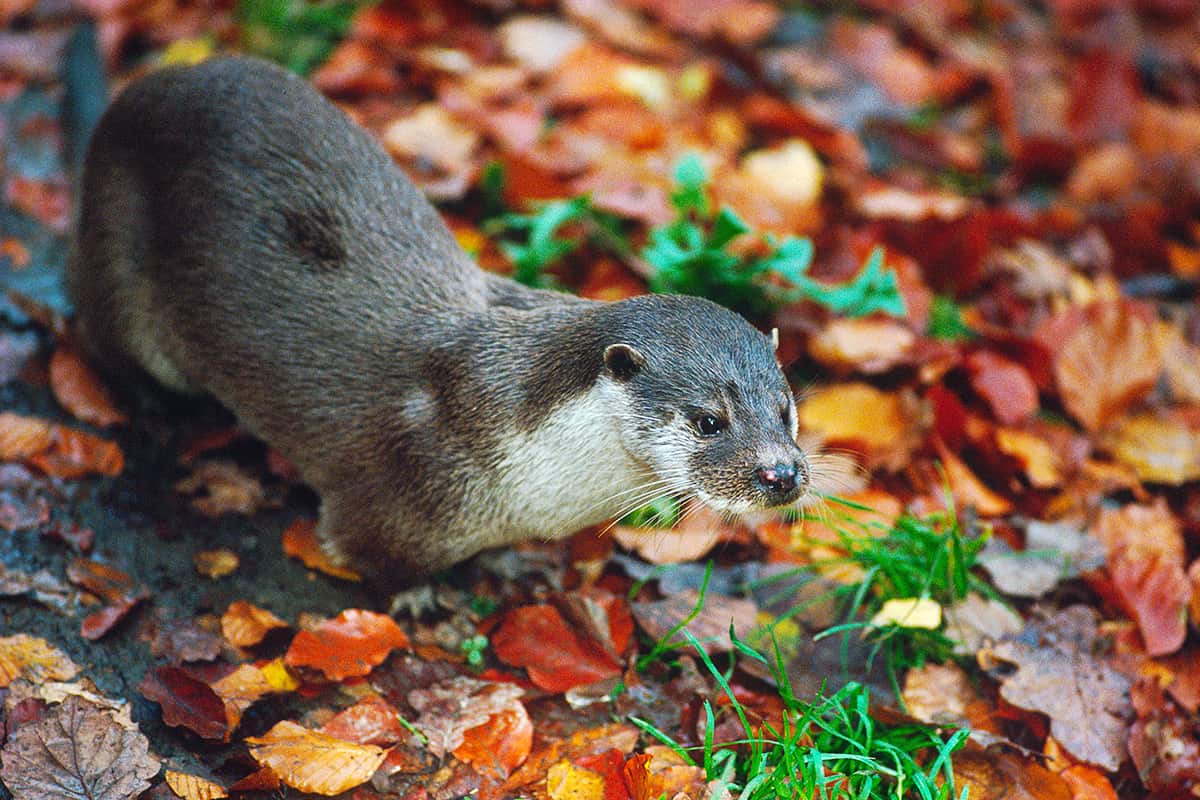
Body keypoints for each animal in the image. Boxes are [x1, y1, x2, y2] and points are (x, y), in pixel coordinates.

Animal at [68, 59, 816, 578]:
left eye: (786, 410)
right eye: (708, 420)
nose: (781, 474)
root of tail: (133, 96)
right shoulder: (396, 505)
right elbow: (379, 560)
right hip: (119, 265)